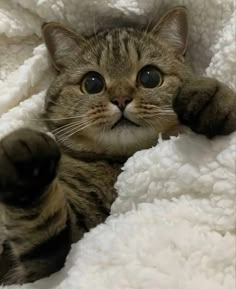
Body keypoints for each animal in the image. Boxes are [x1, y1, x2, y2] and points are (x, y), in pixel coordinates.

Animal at [0, 6, 236, 284]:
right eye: (92, 83)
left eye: (150, 77)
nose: (121, 99)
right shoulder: (51, 256)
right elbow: (42, 224)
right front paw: (27, 161)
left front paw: (214, 96)